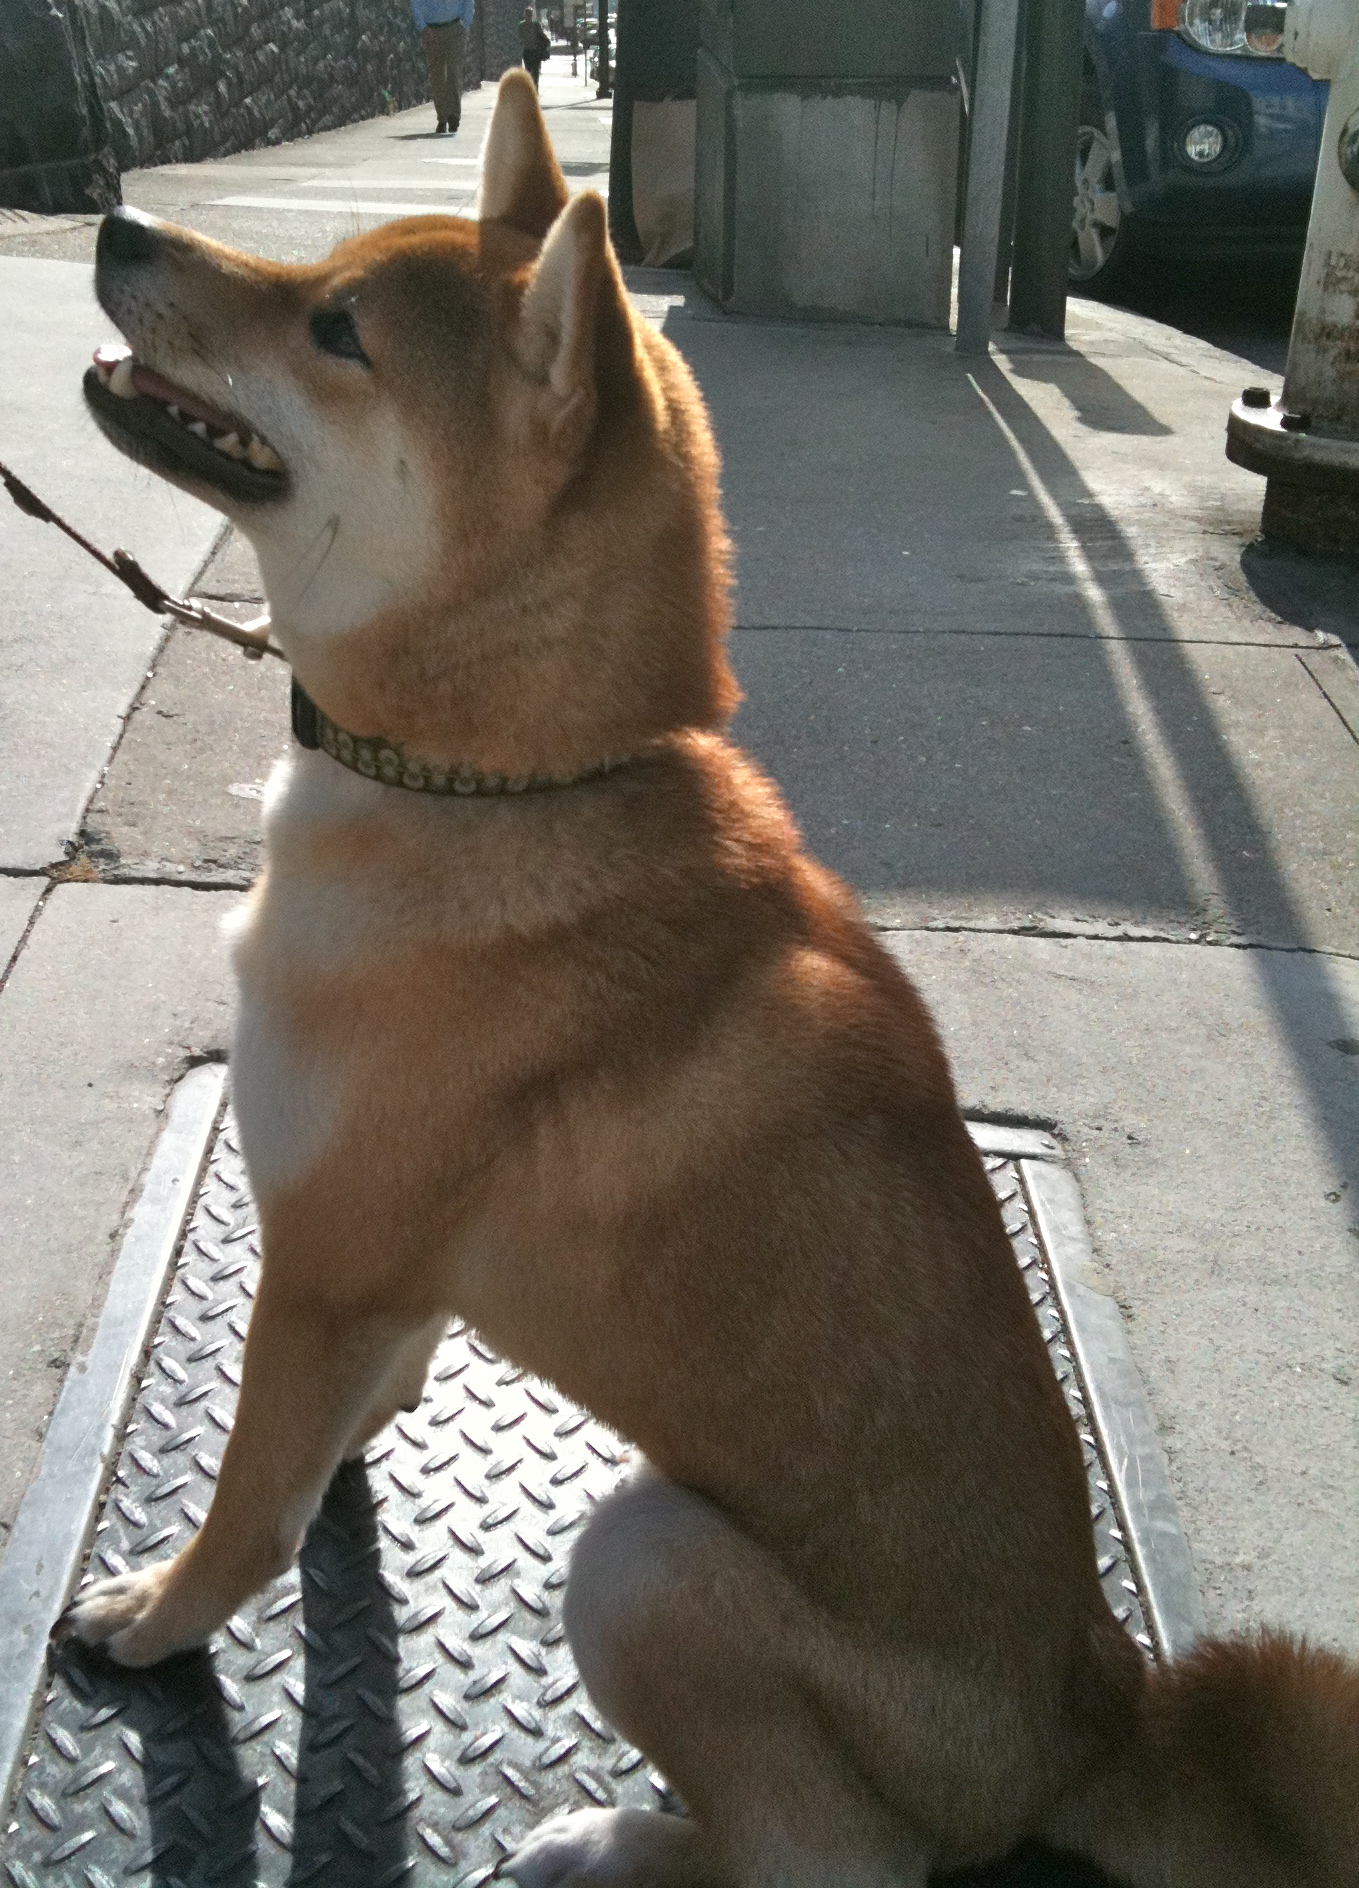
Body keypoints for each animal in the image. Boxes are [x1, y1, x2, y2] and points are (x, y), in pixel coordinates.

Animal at [66, 69, 1359, 1888]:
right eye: (321, 271)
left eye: (331, 327)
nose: (112, 221)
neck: (503, 779)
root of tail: (1091, 1713)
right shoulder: (374, 1270)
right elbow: (349, 1407)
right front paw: (353, 1444)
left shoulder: (320, 1252)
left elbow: (248, 1498)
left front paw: (164, 1610)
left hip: (644, 1558)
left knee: (826, 1859)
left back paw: (610, 1837)